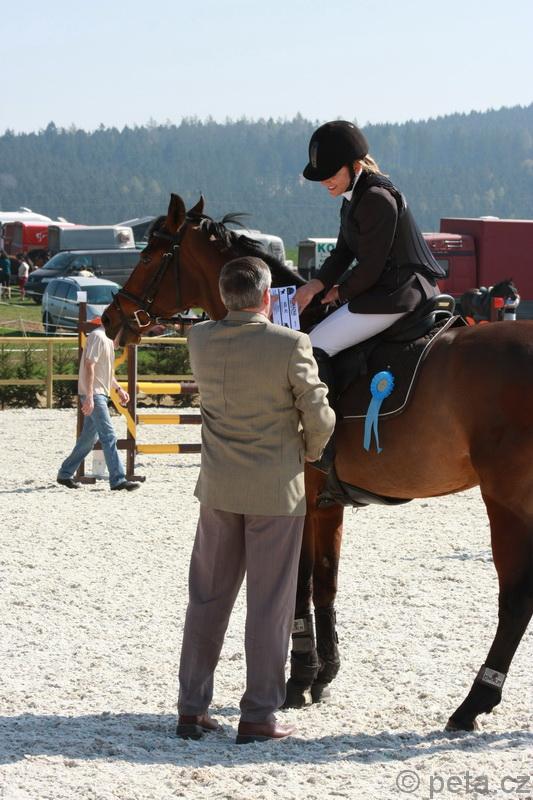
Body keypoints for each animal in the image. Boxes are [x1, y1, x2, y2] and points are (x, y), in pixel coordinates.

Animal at [102, 194, 533, 732]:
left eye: (148, 256)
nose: (109, 319)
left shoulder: (301, 496)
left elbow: (300, 583)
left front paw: (298, 678)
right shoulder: (329, 502)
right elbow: (326, 581)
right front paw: (324, 673)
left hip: (507, 500)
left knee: (516, 597)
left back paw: (473, 703)